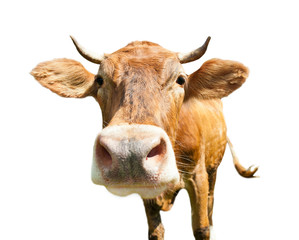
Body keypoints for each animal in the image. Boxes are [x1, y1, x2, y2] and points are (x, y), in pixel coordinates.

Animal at [31, 36, 258, 239]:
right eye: (99, 80)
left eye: (181, 79)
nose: (129, 152)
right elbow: (156, 231)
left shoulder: (198, 175)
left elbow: (201, 228)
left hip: (212, 168)